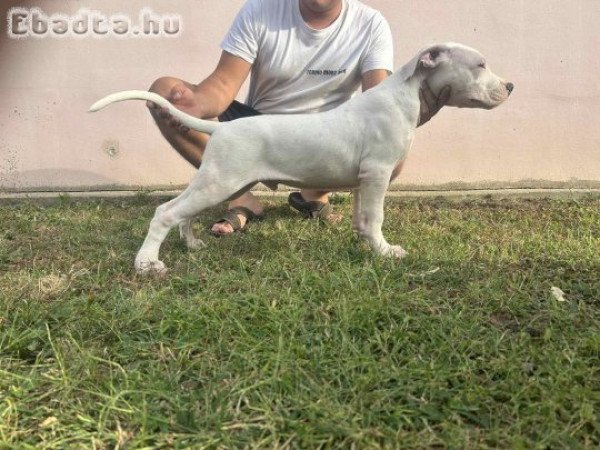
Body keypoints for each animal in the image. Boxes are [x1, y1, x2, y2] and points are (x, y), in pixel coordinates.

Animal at [91, 43, 512, 274]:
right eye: (480, 65)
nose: (510, 86)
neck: (404, 95)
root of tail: (221, 130)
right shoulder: (378, 173)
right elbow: (376, 217)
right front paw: (385, 251)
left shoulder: (364, 179)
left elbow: (362, 217)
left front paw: (365, 243)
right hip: (220, 180)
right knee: (165, 212)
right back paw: (146, 264)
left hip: (216, 181)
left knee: (183, 212)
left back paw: (192, 245)